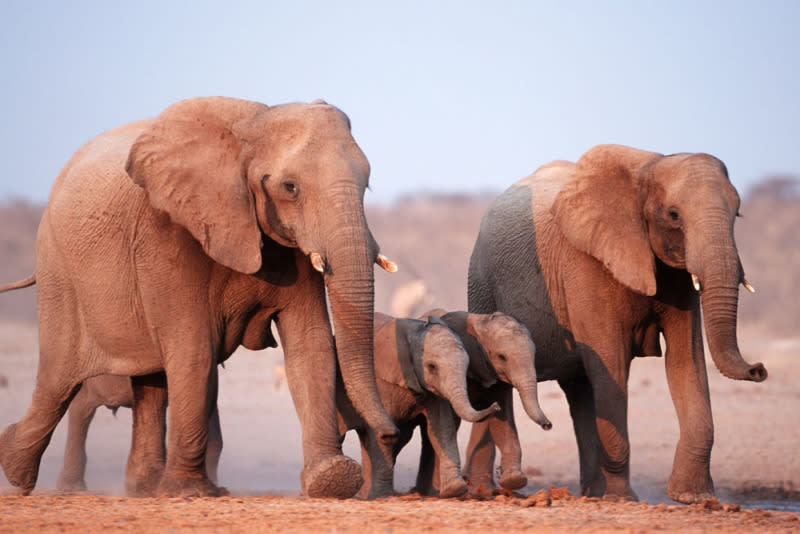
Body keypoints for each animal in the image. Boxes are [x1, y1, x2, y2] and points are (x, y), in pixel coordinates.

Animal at [332, 312, 496, 500]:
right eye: (432, 367)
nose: (495, 406)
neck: (415, 331)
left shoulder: (433, 389)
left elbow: (442, 427)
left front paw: (455, 490)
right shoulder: (381, 382)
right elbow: (380, 434)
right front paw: (381, 496)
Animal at [468, 144, 768, 504]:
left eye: (737, 215)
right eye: (673, 215)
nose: (759, 370)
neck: (648, 168)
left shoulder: (677, 277)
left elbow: (686, 359)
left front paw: (694, 498)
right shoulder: (584, 264)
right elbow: (611, 363)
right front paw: (624, 498)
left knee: (580, 390)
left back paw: (591, 494)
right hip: (482, 285)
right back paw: (484, 491)